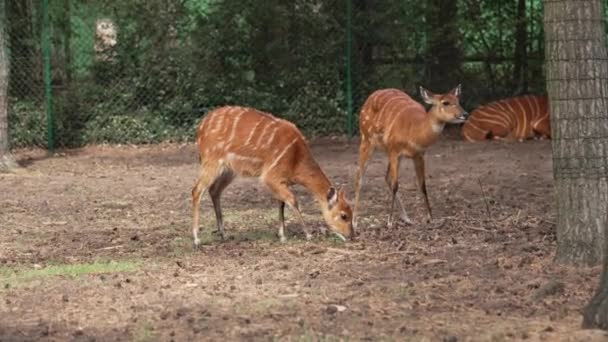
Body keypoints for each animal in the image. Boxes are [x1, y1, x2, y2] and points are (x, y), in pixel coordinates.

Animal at [190, 105, 352, 246]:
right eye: (344, 215)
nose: (351, 235)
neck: (296, 160)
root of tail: (201, 127)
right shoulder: (270, 176)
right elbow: (293, 200)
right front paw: (307, 234)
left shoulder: (281, 180)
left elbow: (281, 202)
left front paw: (282, 236)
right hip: (212, 162)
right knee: (197, 189)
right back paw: (197, 239)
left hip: (229, 170)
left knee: (214, 190)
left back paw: (223, 234)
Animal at [352, 86, 470, 230]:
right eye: (445, 102)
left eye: (458, 100)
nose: (465, 114)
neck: (414, 133)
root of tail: (369, 98)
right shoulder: (394, 150)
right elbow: (396, 184)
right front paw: (389, 222)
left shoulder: (418, 155)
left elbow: (422, 185)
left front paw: (430, 218)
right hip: (366, 139)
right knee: (359, 177)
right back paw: (354, 221)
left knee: (386, 177)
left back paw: (407, 218)